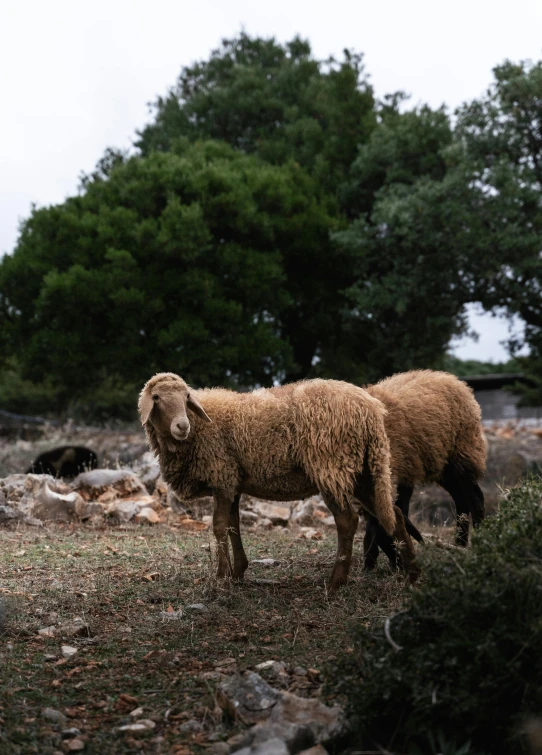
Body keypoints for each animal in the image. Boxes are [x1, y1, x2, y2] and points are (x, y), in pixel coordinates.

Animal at [139, 376, 420, 588]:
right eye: (157, 398)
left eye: (187, 397)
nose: (181, 426)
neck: (199, 427)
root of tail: (371, 410)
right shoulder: (232, 482)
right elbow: (233, 525)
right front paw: (238, 573)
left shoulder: (222, 476)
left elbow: (219, 527)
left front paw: (221, 578)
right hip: (363, 471)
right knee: (393, 514)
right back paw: (411, 574)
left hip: (330, 465)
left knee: (347, 520)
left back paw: (336, 581)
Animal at [364, 370, 486, 568]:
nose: (398, 567)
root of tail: (453, 379)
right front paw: (370, 562)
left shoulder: (405, 468)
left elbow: (402, 509)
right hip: (444, 466)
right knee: (461, 499)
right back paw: (459, 544)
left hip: (462, 454)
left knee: (475, 497)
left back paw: (479, 539)